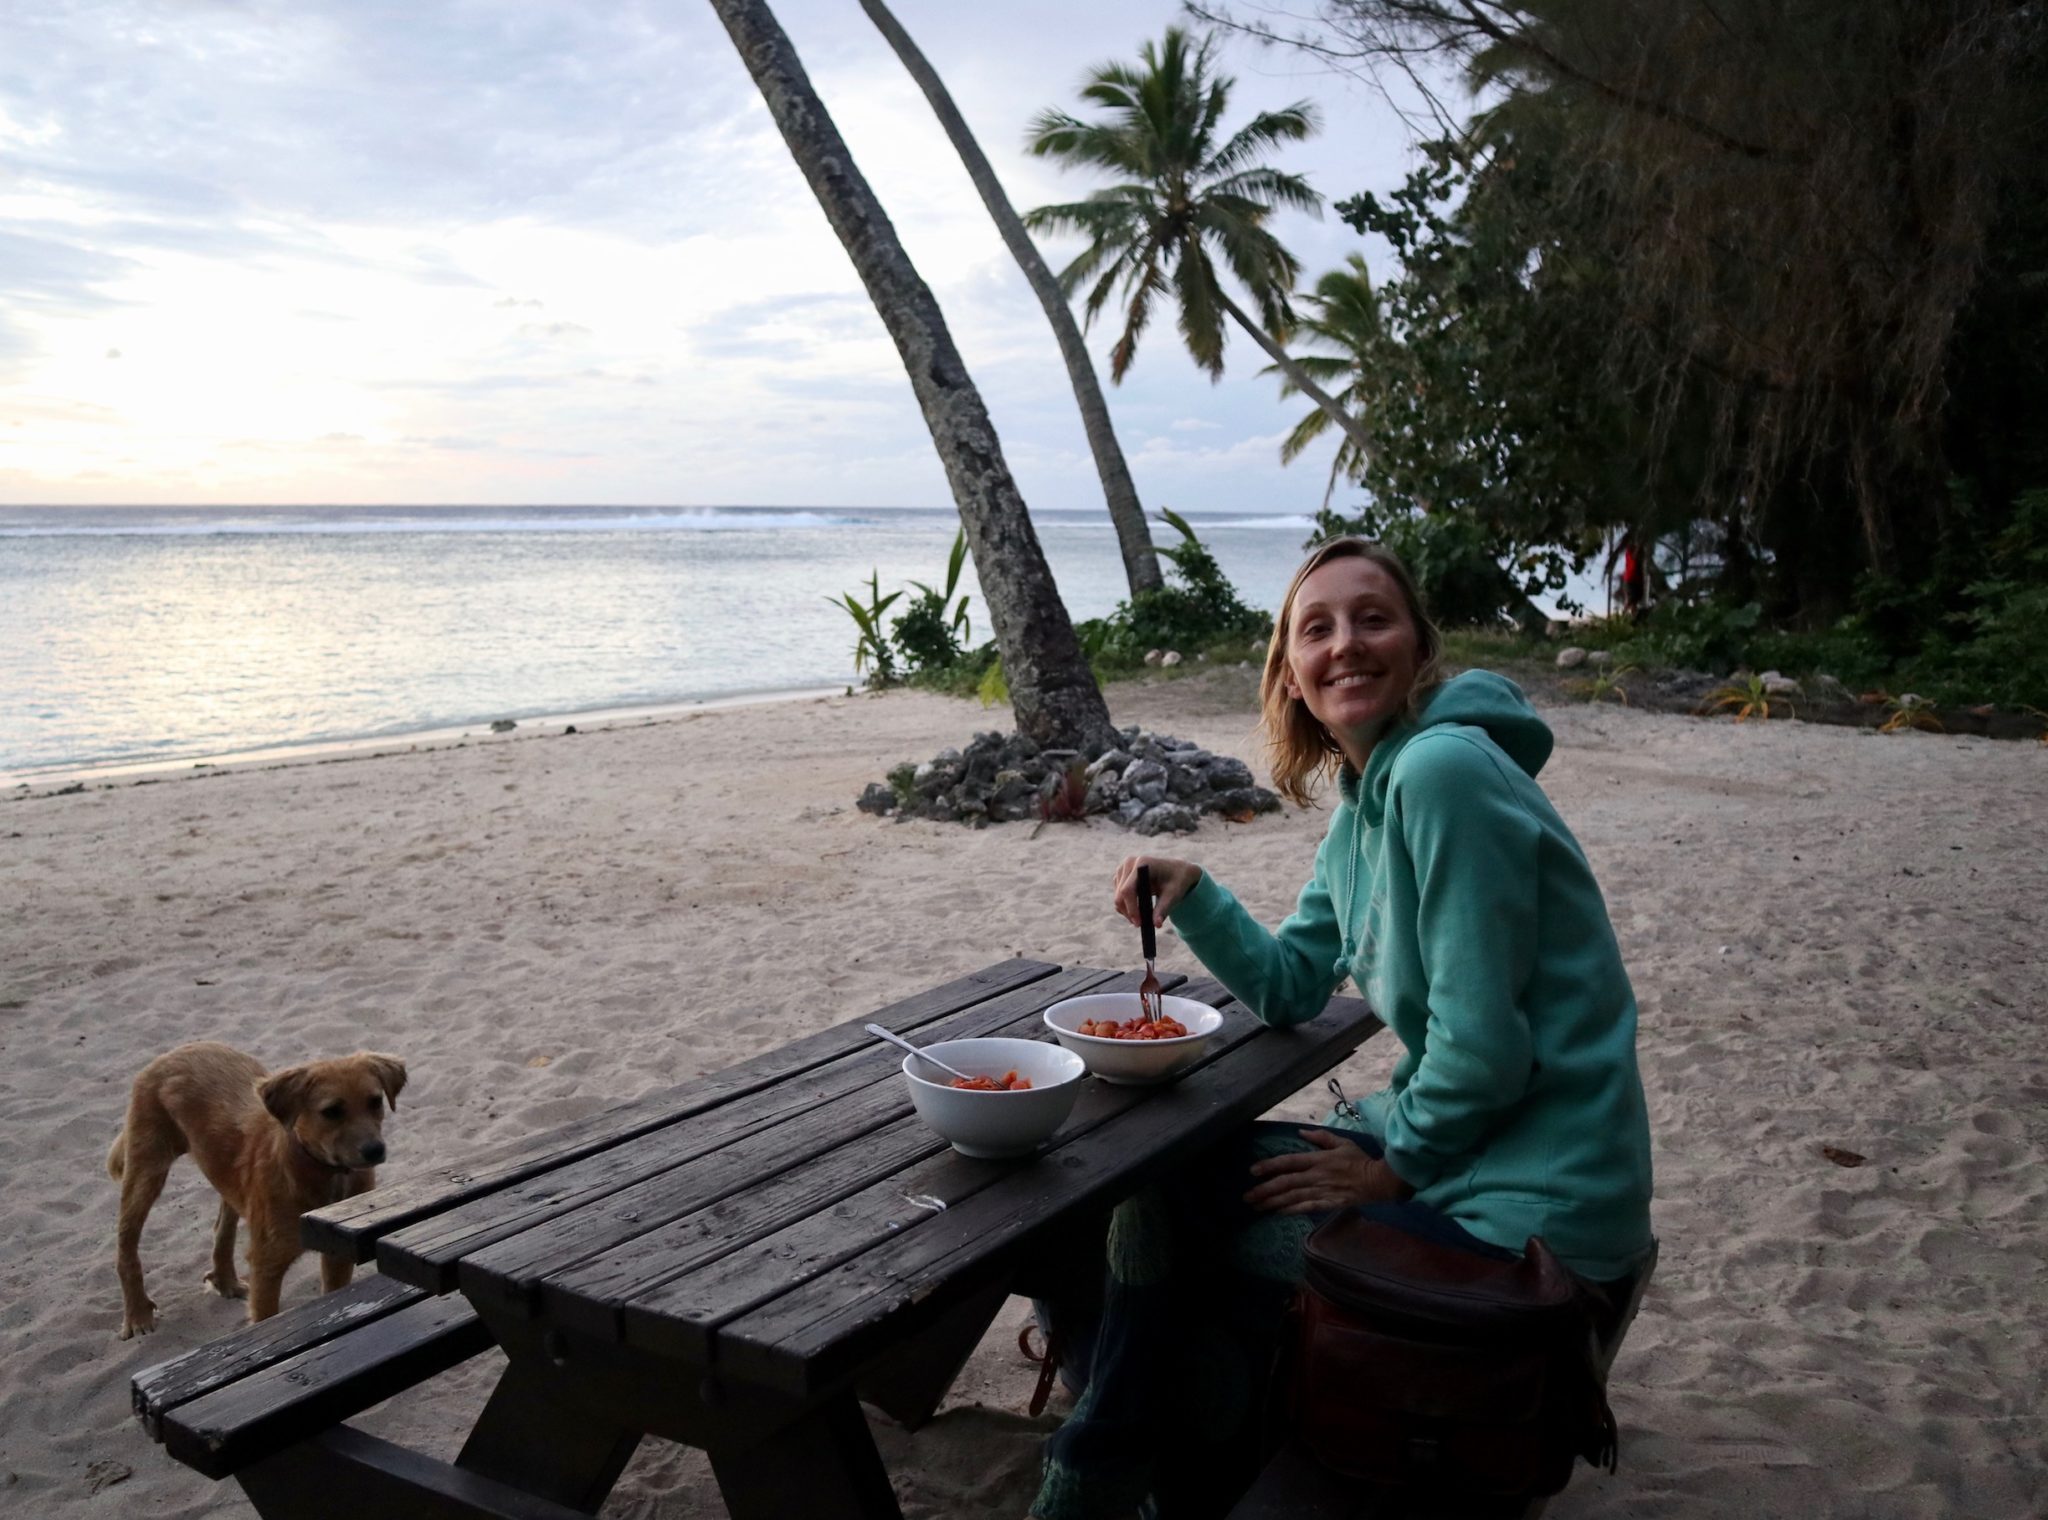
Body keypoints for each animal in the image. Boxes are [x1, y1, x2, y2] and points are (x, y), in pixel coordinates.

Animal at [108, 1040, 403, 1335]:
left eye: (375, 1102)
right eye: (331, 1111)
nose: (375, 1150)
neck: (320, 1170)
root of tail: (176, 1051)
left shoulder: (338, 1251)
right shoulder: (267, 1265)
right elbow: (265, 1316)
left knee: (222, 1229)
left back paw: (226, 1280)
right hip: (146, 1170)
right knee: (126, 1244)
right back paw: (137, 1314)